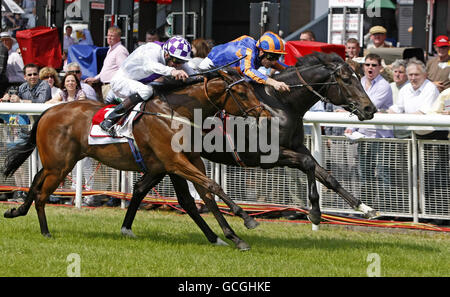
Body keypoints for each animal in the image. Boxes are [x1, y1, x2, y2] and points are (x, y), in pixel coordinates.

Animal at [1, 69, 268, 250]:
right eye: (242, 93)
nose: (264, 114)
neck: (176, 113)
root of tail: (48, 111)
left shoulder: (183, 163)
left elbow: (203, 196)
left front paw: (230, 237)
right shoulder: (174, 162)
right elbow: (209, 188)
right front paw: (246, 220)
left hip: (56, 162)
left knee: (36, 181)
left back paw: (17, 211)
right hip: (60, 166)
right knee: (41, 194)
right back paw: (45, 232)